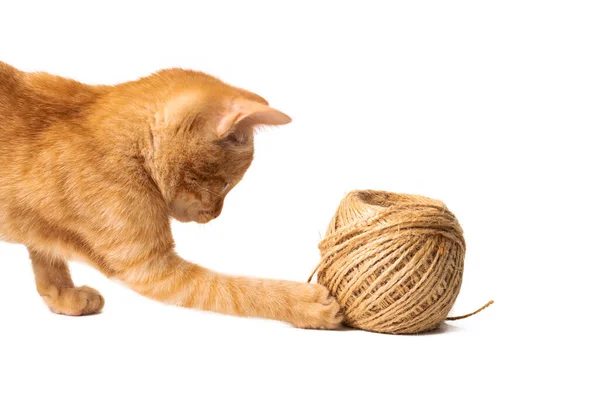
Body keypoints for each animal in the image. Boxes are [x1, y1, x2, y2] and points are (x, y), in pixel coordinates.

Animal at [0, 62, 342, 328]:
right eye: (225, 185)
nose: (215, 215)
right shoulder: (151, 267)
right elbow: (233, 290)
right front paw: (304, 303)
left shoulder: (39, 227)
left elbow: (47, 260)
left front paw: (64, 298)